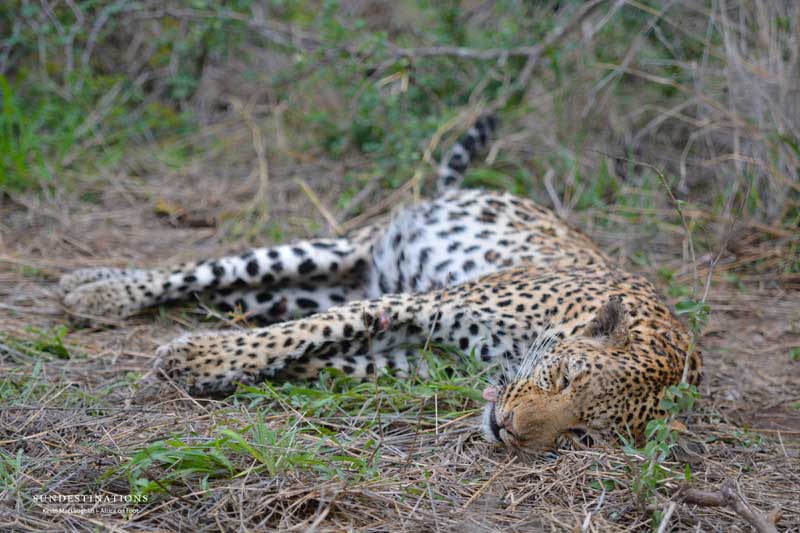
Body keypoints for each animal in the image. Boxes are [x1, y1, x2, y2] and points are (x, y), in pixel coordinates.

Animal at [59, 115, 702, 454]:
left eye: (582, 433)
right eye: (564, 376)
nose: (510, 431)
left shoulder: (415, 358)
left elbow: (324, 356)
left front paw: (251, 374)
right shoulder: (422, 303)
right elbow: (297, 336)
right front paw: (198, 360)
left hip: (314, 283)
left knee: (230, 296)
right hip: (328, 252)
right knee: (196, 274)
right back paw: (96, 289)